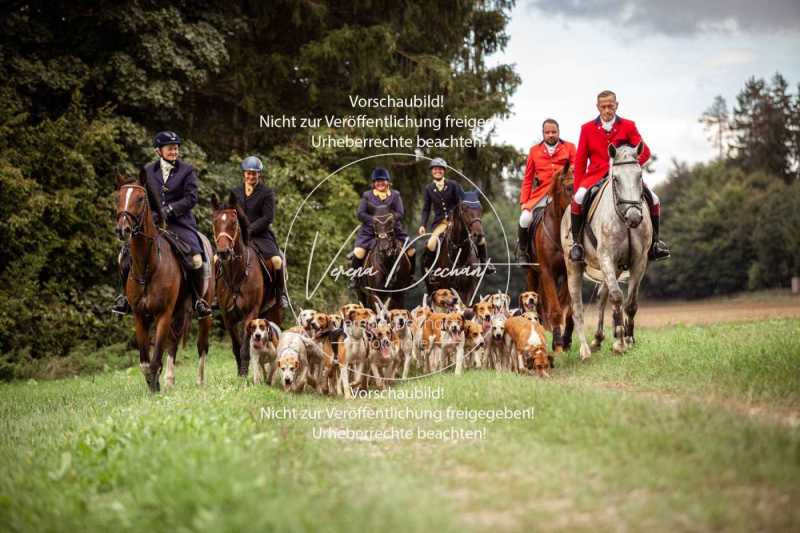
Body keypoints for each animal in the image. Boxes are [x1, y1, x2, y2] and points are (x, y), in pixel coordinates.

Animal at [114, 171, 212, 390]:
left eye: (140, 199)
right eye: (119, 198)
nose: (123, 230)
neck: (147, 267)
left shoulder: (163, 314)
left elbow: (156, 357)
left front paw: (154, 388)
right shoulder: (140, 316)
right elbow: (145, 362)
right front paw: (154, 385)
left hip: (203, 311)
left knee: (201, 345)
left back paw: (200, 381)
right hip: (179, 309)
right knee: (173, 342)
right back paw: (169, 381)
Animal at [209, 193, 282, 376]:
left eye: (234, 223)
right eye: (215, 222)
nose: (223, 253)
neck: (236, 274)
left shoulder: (251, 313)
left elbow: (245, 348)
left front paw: (244, 373)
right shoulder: (228, 316)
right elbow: (236, 346)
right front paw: (241, 373)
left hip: (274, 309)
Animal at [524, 162, 576, 354]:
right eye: (569, 188)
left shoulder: (569, 273)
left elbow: (566, 307)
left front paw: (565, 340)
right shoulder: (546, 272)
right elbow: (555, 308)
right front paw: (558, 343)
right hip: (531, 273)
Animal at [560, 143, 652, 360]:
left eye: (639, 176)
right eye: (616, 178)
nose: (634, 217)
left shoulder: (639, 261)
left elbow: (630, 303)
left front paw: (627, 339)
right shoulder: (606, 258)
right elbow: (617, 297)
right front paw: (619, 343)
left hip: (616, 268)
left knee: (602, 294)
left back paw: (598, 338)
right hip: (574, 266)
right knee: (577, 306)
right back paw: (585, 350)